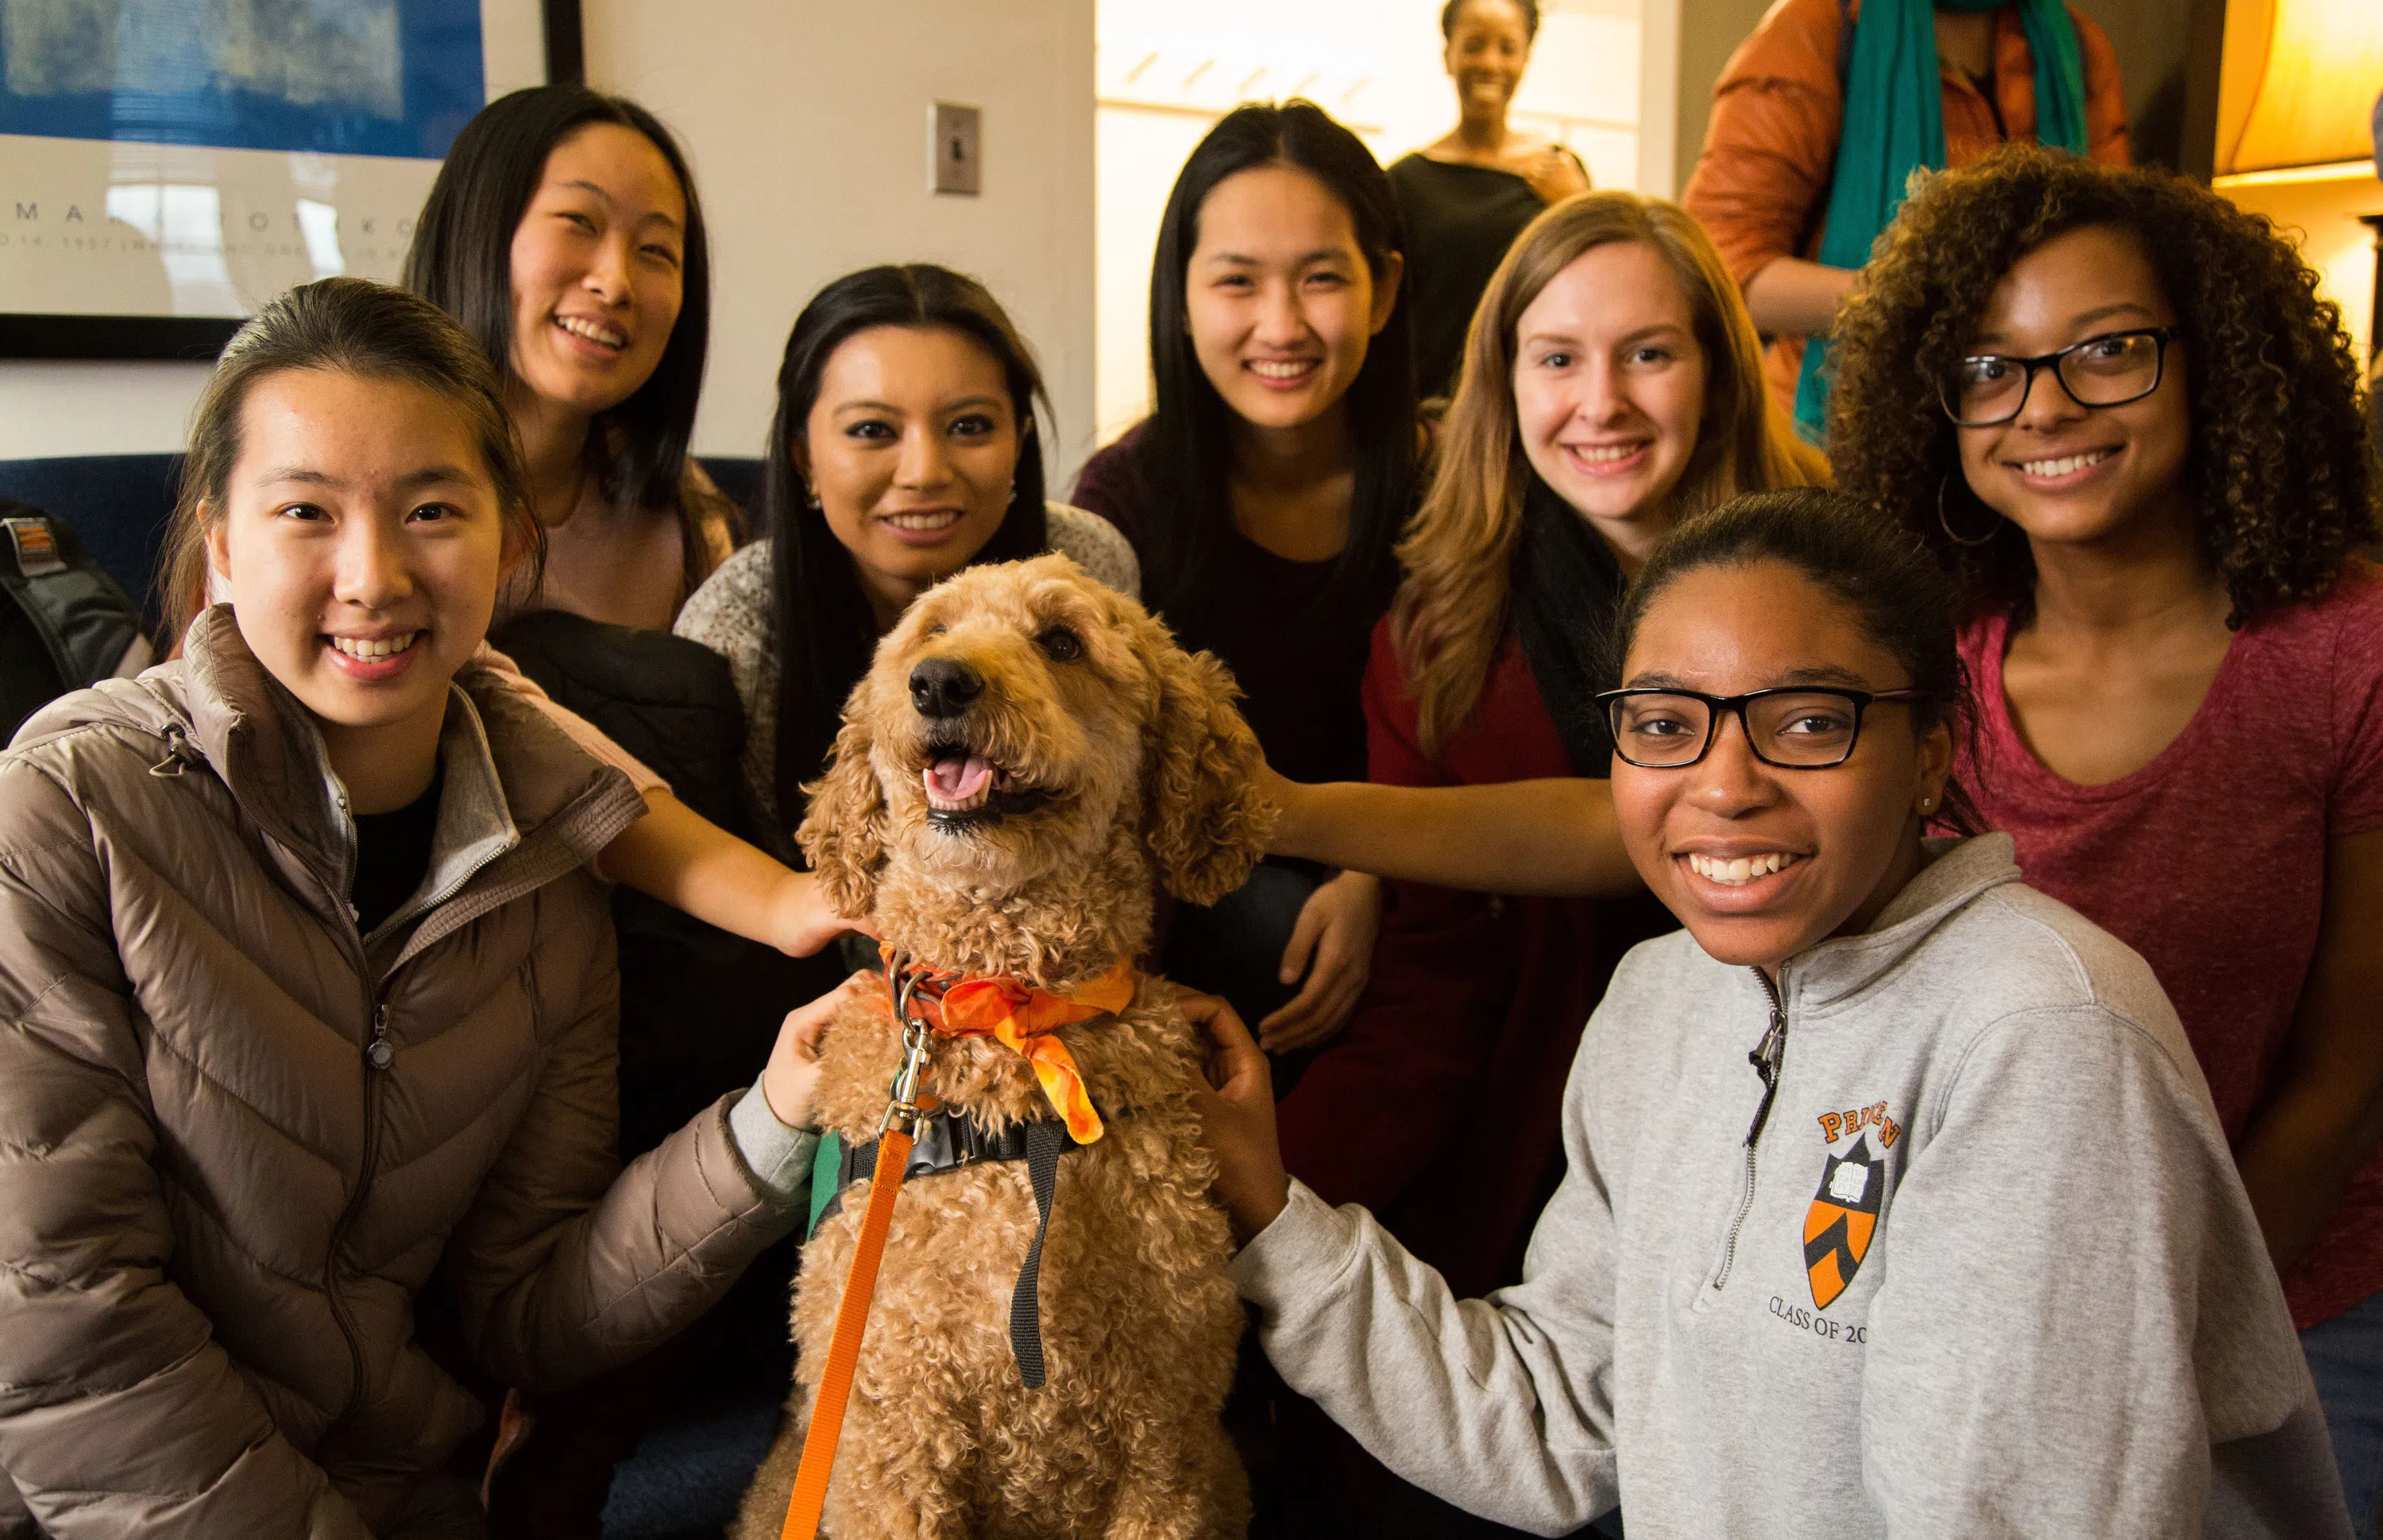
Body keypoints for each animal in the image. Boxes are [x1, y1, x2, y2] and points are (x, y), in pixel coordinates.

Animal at [734, 558, 1277, 1540]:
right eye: (932, 631)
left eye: (1061, 641)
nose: (940, 683)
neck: (1002, 1015)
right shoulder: (891, 1450)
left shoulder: (1167, 1449)